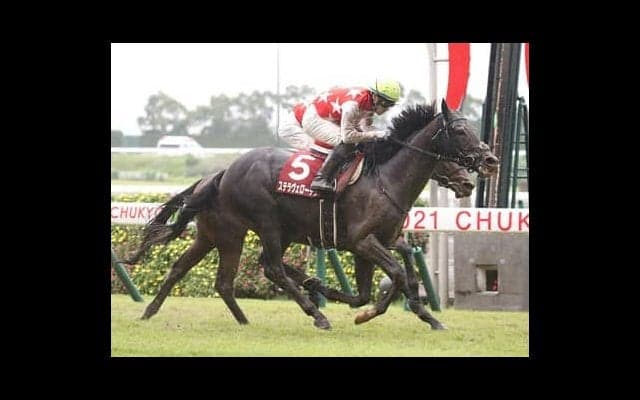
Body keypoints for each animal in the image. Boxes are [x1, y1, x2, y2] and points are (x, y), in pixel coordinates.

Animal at [128, 100, 498, 330]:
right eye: (460, 132)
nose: (489, 161)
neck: (385, 178)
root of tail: (223, 172)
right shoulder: (362, 242)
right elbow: (393, 276)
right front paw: (365, 313)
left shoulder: (382, 240)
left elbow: (395, 273)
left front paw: (426, 316)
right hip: (263, 224)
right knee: (271, 268)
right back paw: (316, 314)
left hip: (218, 234)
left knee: (198, 273)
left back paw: (154, 312)